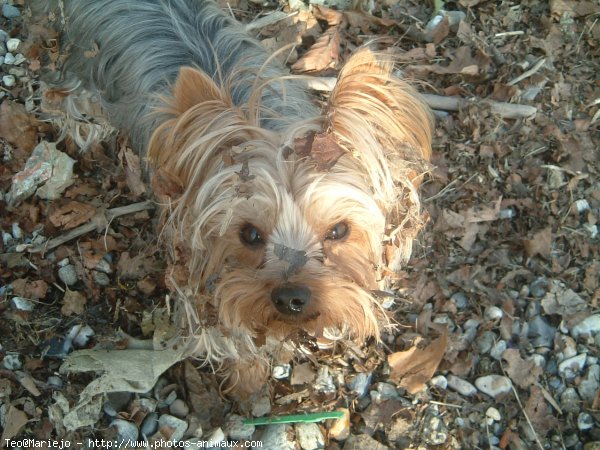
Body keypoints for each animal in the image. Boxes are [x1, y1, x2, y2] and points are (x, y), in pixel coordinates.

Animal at [44, 0, 434, 398]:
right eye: (249, 234)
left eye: (339, 231)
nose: (291, 298)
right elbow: (230, 335)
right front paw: (249, 381)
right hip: (77, 63)